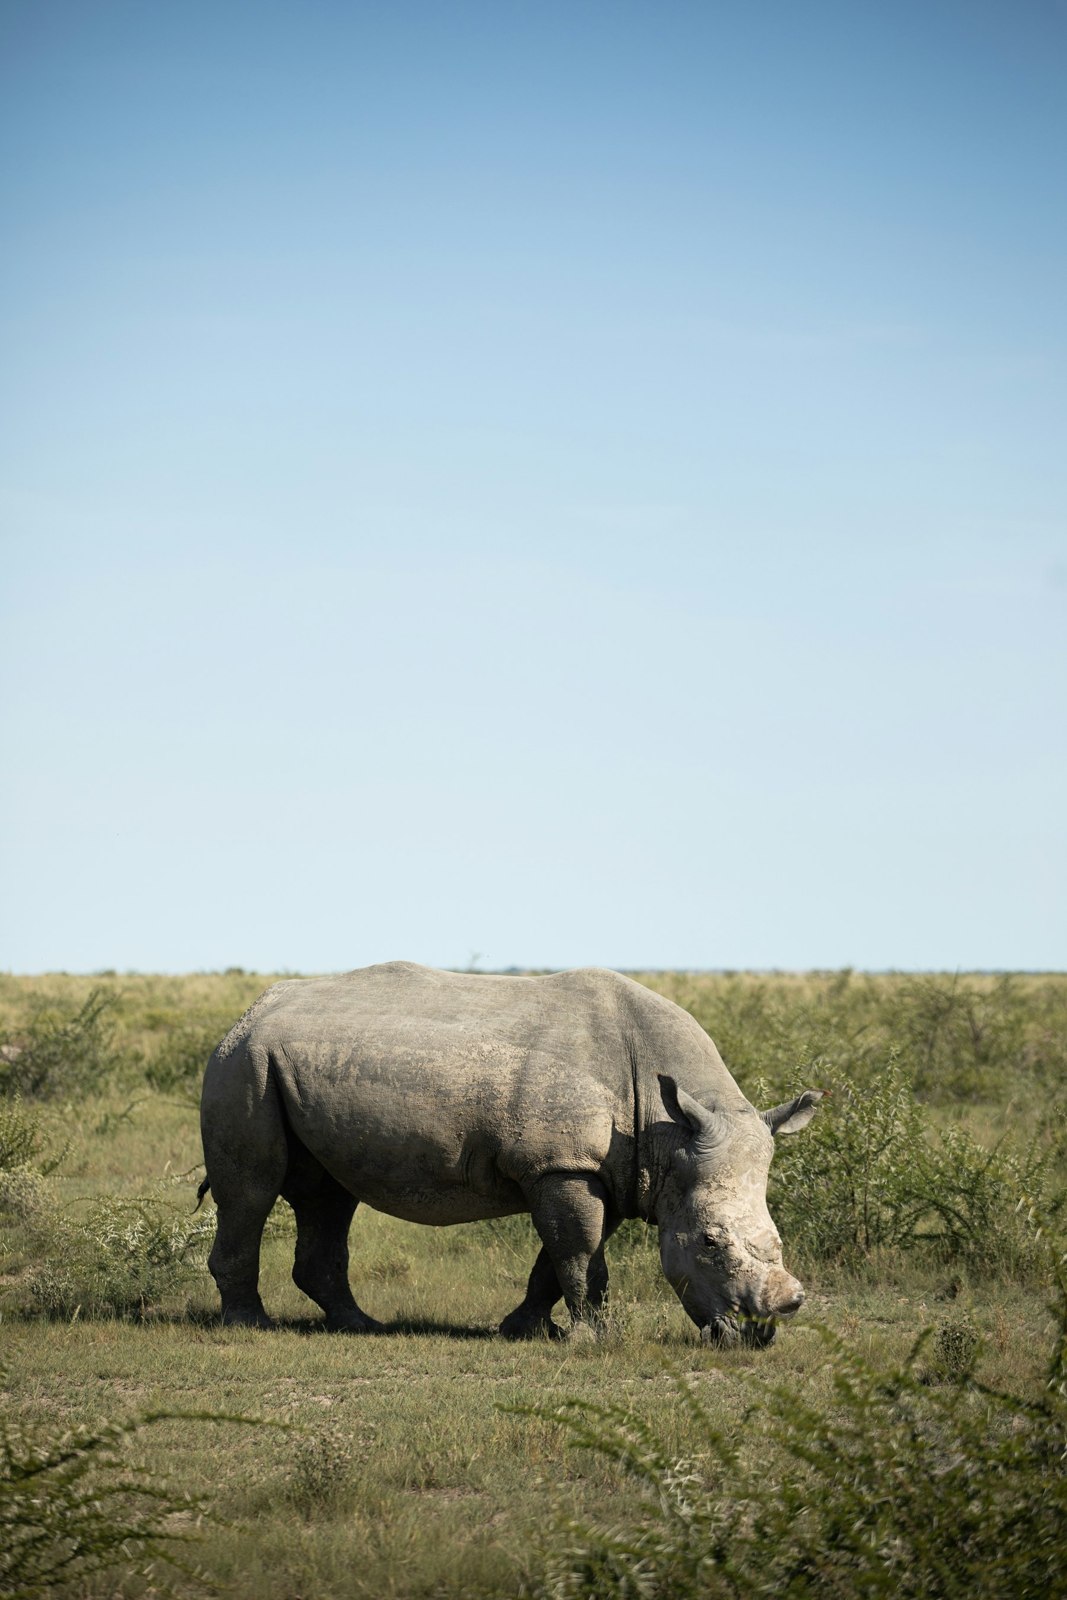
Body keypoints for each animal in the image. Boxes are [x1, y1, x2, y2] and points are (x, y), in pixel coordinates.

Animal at [199, 962, 822, 1345]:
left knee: (328, 1197)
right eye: (710, 1243)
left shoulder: (606, 1172)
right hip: (243, 1063)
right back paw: (249, 1326)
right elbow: (579, 1251)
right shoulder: (562, 1163)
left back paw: (362, 1326)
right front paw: (592, 1339)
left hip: (290, 1063)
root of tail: (250, 1010)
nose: (763, 1330)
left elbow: (562, 1257)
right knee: (251, 1191)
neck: (669, 1135)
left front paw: (526, 1331)